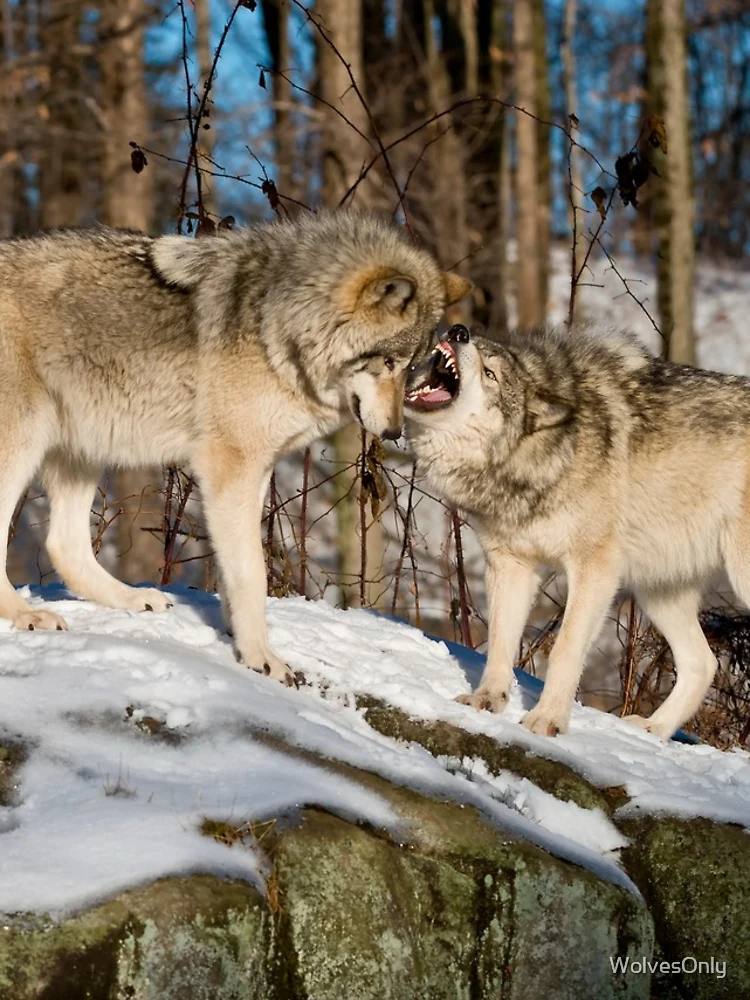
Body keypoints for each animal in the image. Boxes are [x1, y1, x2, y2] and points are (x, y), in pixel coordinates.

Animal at [0, 211, 470, 684]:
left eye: (411, 366)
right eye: (387, 362)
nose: (393, 432)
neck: (279, 330)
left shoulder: (257, 470)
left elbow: (235, 571)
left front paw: (237, 639)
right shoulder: (230, 467)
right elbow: (252, 574)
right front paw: (262, 657)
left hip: (82, 451)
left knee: (63, 544)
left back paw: (131, 599)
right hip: (23, 446)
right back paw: (26, 614)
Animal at [405, 321, 750, 739]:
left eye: (490, 374)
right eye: (478, 352)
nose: (458, 331)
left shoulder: (594, 569)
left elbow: (565, 647)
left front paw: (546, 720)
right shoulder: (510, 564)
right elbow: (501, 642)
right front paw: (487, 699)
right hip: (658, 591)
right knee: (703, 663)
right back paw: (652, 729)